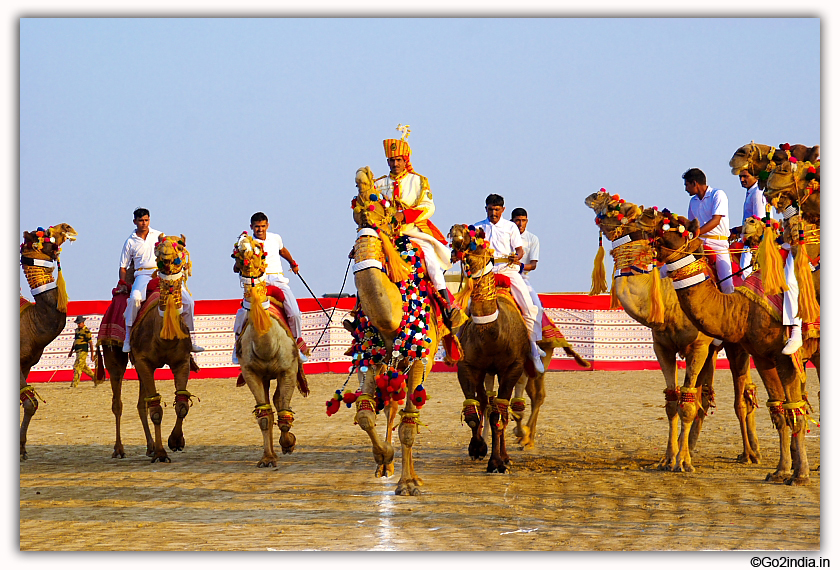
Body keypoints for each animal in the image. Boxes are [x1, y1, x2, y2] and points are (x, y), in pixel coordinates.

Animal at [348, 165, 444, 495]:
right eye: (355, 207)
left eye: (387, 209)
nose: (362, 173)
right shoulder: (370, 357)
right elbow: (365, 414)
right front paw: (384, 458)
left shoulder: (417, 359)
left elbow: (408, 425)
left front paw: (409, 484)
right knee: (389, 408)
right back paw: (386, 466)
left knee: (401, 414)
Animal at [584, 191, 759, 472]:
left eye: (614, 206)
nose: (594, 195)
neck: (670, 302)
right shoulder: (663, 347)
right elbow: (673, 403)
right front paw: (669, 457)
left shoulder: (697, 346)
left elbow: (687, 404)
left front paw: (682, 463)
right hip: (712, 352)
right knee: (707, 396)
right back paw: (702, 447)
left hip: (734, 346)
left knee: (741, 398)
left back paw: (749, 453)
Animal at [652, 213, 819, 485]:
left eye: (674, 226)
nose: (651, 220)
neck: (742, 307)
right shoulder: (762, 356)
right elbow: (779, 410)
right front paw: (781, 470)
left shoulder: (780, 356)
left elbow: (792, 410)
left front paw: (799, 474)